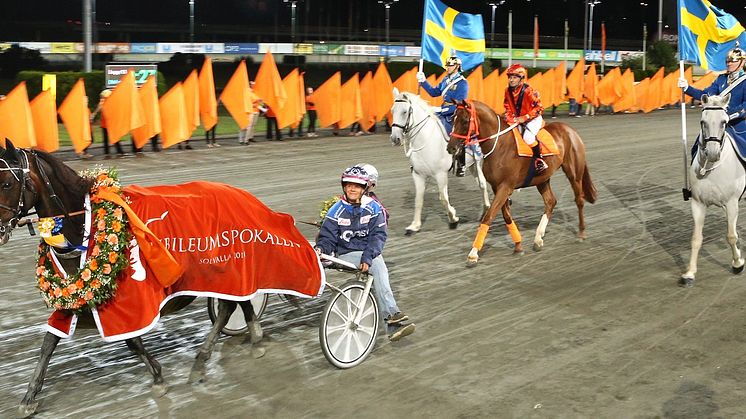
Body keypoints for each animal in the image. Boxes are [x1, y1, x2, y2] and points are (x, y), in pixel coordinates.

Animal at [0, 142, 264, 419]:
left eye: (6, 183)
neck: (84, 225)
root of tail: (238, 194)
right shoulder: (70, 296)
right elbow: (48, 343)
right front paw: (29, 397)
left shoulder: (128, 300)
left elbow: (132, 341)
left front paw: (158, 377)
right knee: (236, 302)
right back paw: (239, 343)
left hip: (224, 270)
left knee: (234, 303)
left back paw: (223, 351)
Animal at [386, 90, 492, 235]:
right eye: (392, 111)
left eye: (404, 112)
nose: (395, 138)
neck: (425, 140)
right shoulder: (418, 175)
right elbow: (418, 200)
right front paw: (415, 225)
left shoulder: (440, 174)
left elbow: (443, 198)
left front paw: (453, 218)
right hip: (471, 165)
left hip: (479, 161)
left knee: (483, 183)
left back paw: (487, 209)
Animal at [444, 101, 596, 264]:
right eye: (452, 119)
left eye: (465, 121)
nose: (450, 147)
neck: (500, 146)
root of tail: (571, 131)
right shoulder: (498, 187)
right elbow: (506, 217)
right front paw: (518, 246)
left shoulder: (505, 187)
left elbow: (489, 216)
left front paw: (473, 253)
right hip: (542, 179)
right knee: (550, 202)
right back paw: (538, 238)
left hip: (574, 174)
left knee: (579, 200)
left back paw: (581, 233)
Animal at [680, 93, 744, 288]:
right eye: (703, 122)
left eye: (724, 122)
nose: (713, 153)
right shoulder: (698, 204)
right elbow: (696, 239)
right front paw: (689, 273)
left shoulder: (732, 203)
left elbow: (731, 236)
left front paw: (737, 263)